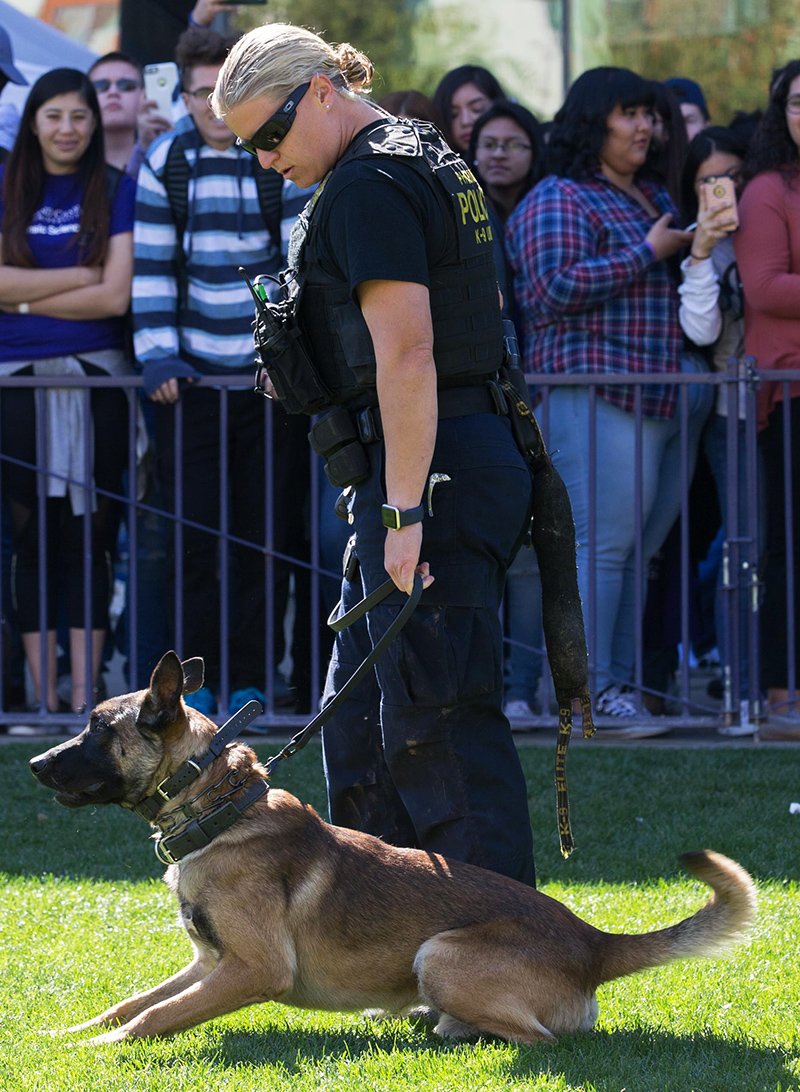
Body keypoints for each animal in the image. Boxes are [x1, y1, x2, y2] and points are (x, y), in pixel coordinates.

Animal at [31, 650, 755, 1043]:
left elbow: (154, 1019)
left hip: (441, 954)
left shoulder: (253, 969)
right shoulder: (209, 962)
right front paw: (65, 1034)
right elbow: (130, 1003)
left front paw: (104, 1051)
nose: (36, 763)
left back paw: (448, 1030)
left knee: (539, 1038)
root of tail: (593, 943)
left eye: (96, 728)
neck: (221, 807)